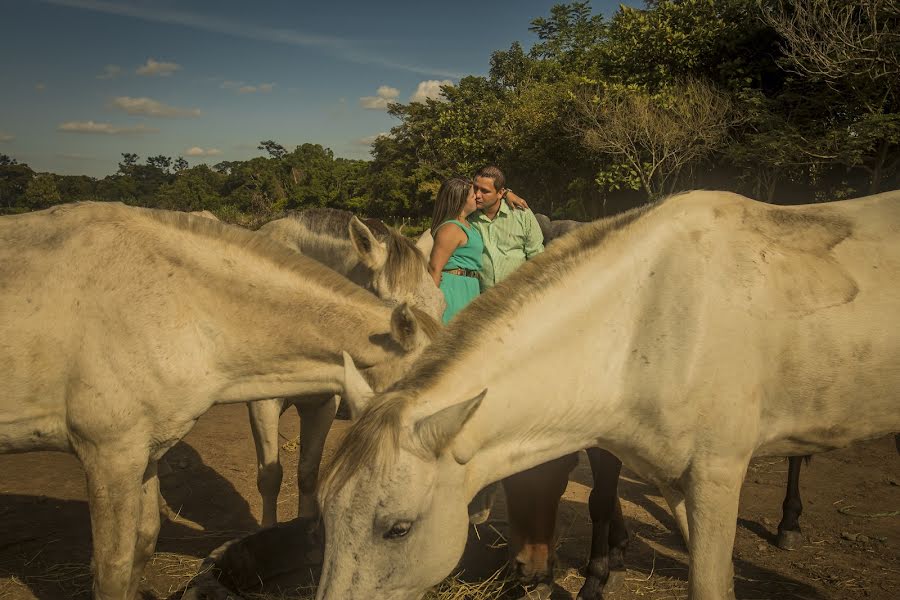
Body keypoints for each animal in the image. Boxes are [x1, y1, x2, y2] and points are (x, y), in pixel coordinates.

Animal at [0, 203, 436, 600]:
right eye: (387, 297)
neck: (184, 305)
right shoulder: (110, 453)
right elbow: (269, 476)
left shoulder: (321, 404)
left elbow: (306, 475)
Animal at [316, 191, 900, 600]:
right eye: (324, 513)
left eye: (397, 529)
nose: (526, 574)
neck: (644, 323)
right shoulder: (676, 481)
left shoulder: (717, 475)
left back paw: (789, 524)